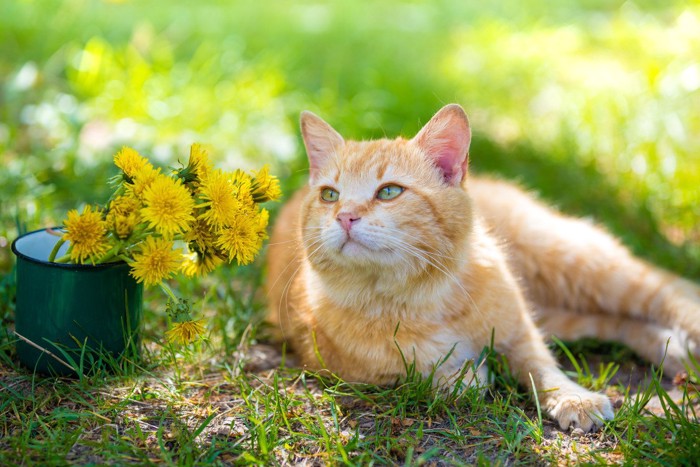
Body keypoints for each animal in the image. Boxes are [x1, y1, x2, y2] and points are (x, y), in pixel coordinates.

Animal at [266, 104, 696, 434]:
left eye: (389, 191)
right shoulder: (343, 368)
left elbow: (543, 367)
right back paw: (675, 353)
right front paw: (465, 375)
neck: (418, 297)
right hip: (563, 311)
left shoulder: (520, 331)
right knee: (616, 322)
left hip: (579, 264)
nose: (345, 217)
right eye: (329, 195)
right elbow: (426, 371)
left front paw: (573, 398)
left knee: (668, 288)